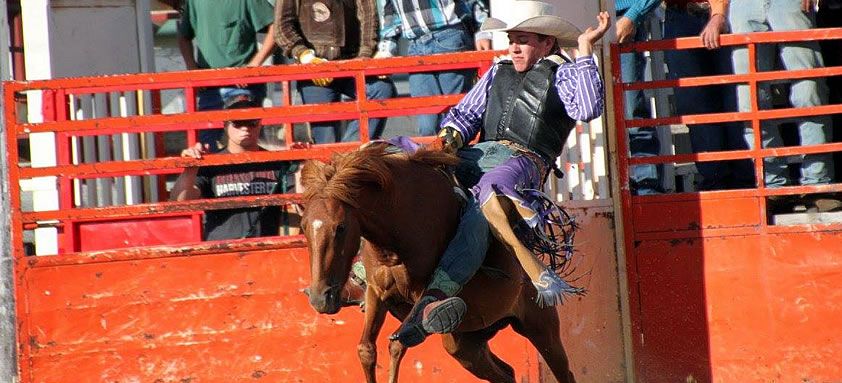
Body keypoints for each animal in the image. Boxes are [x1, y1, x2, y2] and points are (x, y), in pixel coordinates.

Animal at [298, 143, 576, 383]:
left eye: (340, 227)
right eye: (303, 227)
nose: (320, 298)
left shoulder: (419, 297)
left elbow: (398, 343)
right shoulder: (377, 292)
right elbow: (366, 349)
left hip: (540, 326)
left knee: (563, 371)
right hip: (465, 345)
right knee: (505, 373)